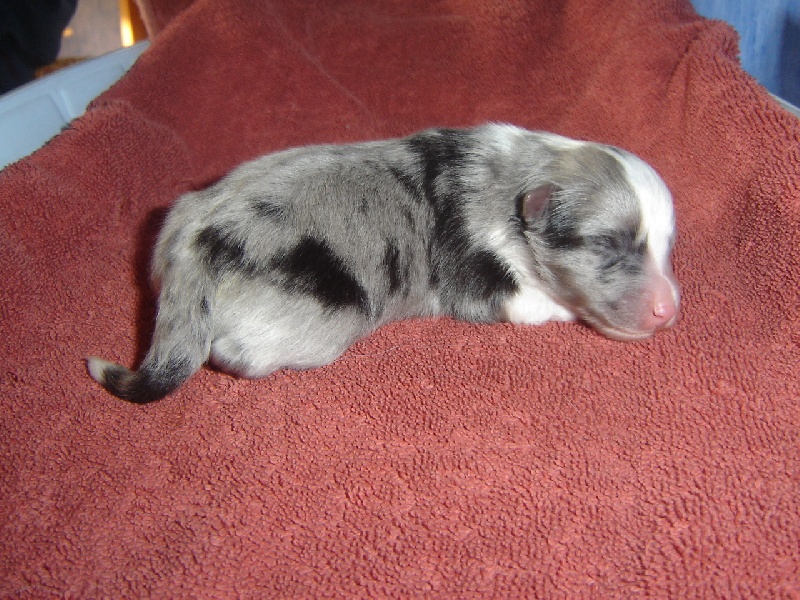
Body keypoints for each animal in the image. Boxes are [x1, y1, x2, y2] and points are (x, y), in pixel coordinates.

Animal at [87, 124, 680, 403]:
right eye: (607, 244)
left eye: (666, 246)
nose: (670, 310)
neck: (521, 180)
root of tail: (197, 247)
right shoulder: (476, 283)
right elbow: (537, 302)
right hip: (314, 325)